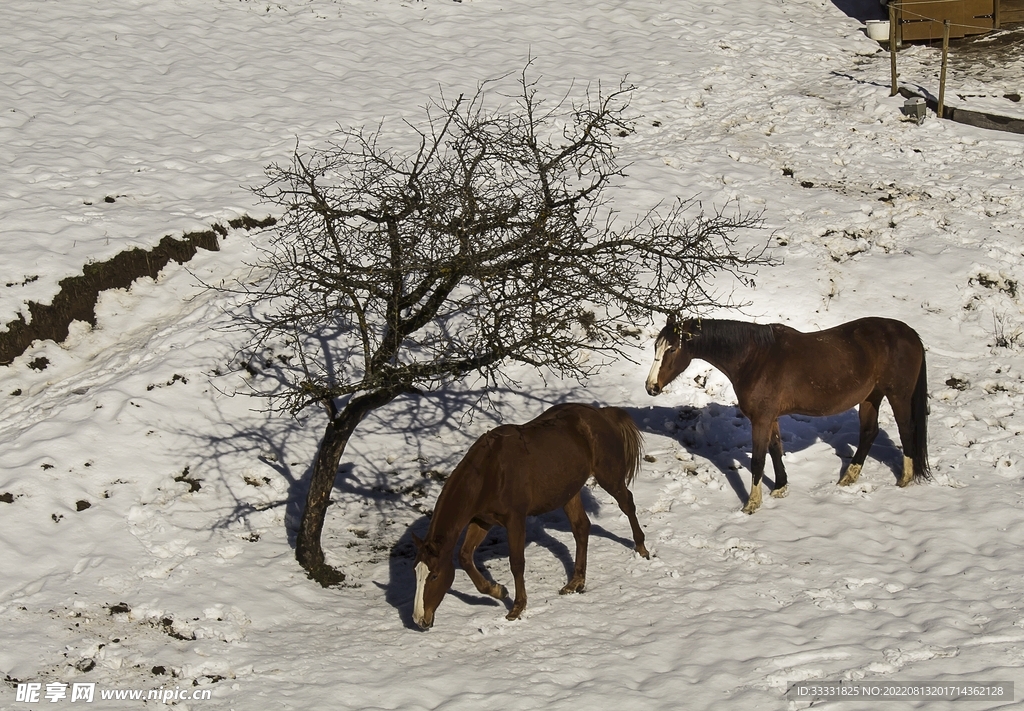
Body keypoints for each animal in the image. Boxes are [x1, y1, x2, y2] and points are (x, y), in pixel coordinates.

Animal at [411, 403, 649, 629]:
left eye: (434, 575)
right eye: (416, 572)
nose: (419, 620)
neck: (490, 473)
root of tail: (601, 413)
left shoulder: (515, 520)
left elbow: (516, 563)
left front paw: (517, 607)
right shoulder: (482, 521)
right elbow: (464, 557)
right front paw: (498, 590)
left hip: (608, 476)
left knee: (627, 504)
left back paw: (641, 548)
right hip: (568, 492)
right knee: (582, 527)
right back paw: (575, 582)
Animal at [645, 314, 929, 514]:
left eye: (672, 349)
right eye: (655, 347)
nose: (651, 387)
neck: (754, 358)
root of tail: (910, 333)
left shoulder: (760, 419)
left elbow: (758, 460)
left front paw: (752, 504)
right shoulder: (770, 417)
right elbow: (775, 449)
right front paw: (780, 488)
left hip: (898, 395)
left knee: (906, 429)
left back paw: (904, 479)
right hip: (871, 397)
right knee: (869, 432)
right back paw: (848, 478)